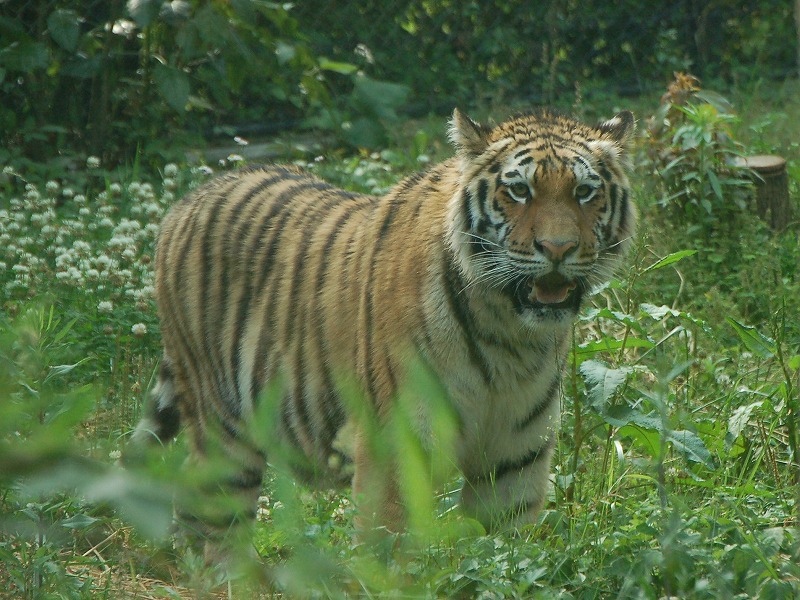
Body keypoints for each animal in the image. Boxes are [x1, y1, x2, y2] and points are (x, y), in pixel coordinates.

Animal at [131, 106, 636, 548]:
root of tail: (184, 201)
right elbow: (389, 551)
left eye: (584, 192)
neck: (509, 332)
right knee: (212, 521)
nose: (558, 248)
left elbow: (505, 555)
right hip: (225, 427)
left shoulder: (516, 457)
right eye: (519, 192)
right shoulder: (396, 444)